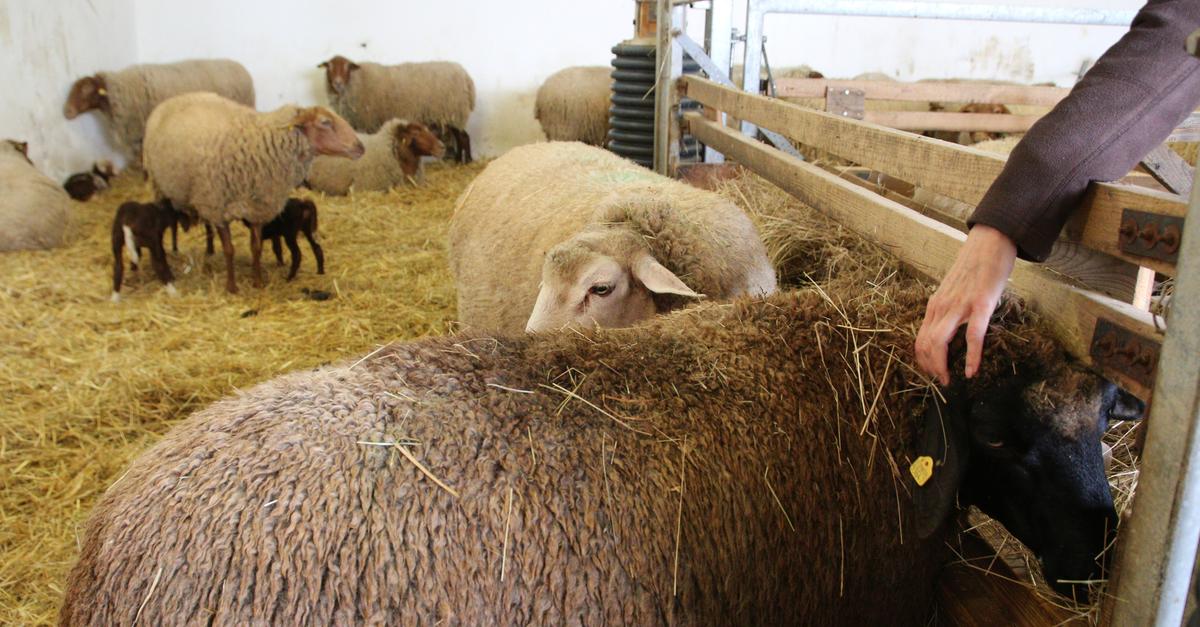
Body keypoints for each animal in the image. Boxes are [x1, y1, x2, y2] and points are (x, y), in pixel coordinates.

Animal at [142, 92, 363, 294]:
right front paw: (232, 287)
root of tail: (174, 98)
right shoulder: (219, 208)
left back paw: (209, 250)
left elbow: (256, 248)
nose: (361, 147)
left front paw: (258, 282)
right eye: (325, 122)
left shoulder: (257, 208)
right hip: (162, 189)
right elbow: (229, 249)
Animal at [319, 55, 475, 163]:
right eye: (329, 67)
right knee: (460, 137)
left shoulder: (370, 121)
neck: (357, 81)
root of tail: (466, 76)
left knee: (463, 137)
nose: (337, 83)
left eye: (347, 67)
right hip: (450, 116)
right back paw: (458, 160)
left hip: (454, 112)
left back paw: (466, 161)